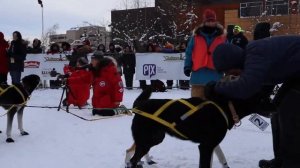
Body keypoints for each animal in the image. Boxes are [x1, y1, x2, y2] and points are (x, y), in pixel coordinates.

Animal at [126, 88, 272, 167]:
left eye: (268, 98)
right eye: (264, 99)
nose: (275, 106)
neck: (226, 106)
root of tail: (139, 106)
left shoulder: (212, 144)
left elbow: (221, 159)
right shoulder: (206, 146)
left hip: (154, 138)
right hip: (149, 139)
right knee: (132, 159)